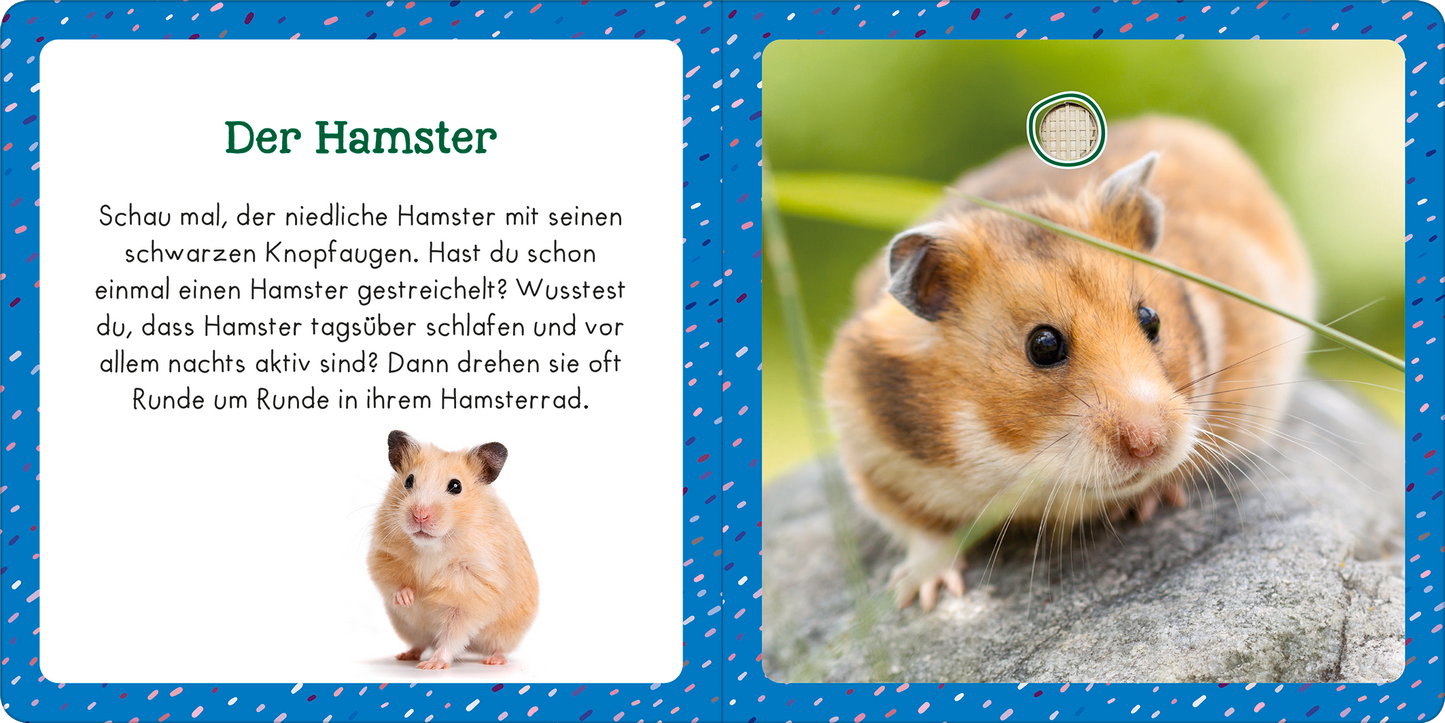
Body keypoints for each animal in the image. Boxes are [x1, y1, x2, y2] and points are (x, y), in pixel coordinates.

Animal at [368, 431, 539, 669]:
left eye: (456, 486)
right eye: (409, 480)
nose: (420, 515)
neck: (431, 547)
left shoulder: (472, 592)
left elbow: (453, 633)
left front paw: (433, 665)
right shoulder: (382, 554)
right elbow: (392, 581)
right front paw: (408, 598)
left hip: (507, 631)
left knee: (498, 646)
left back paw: (493, 661)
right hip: (408, 628)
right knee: (420, 643)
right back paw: (405, 655)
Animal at [822, 116, 1316, 611]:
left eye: (1151, 319)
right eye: (1042, 345)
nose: (1149, 444)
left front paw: (1149, 502)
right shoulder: (871, 452)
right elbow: (919, 529)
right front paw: (922, 596)